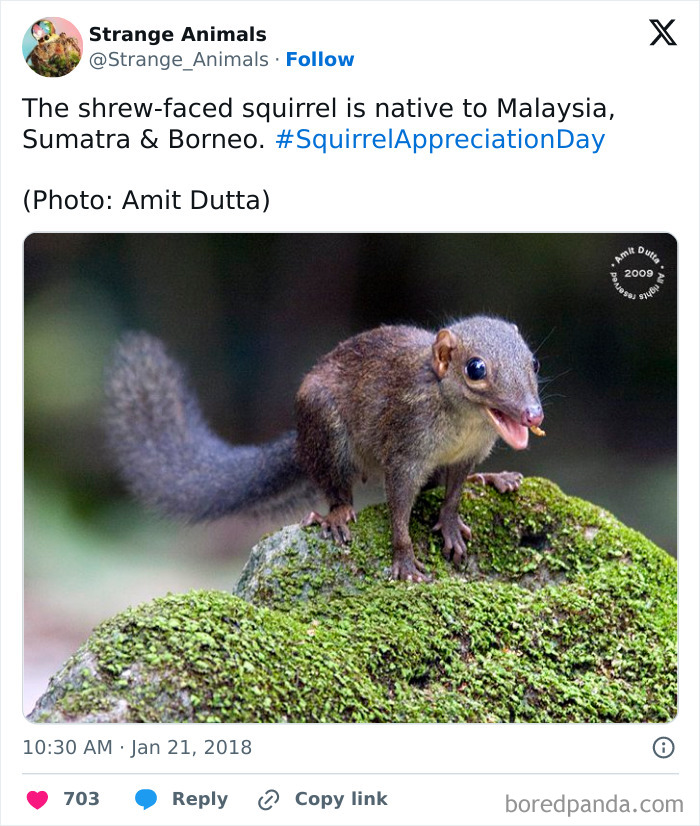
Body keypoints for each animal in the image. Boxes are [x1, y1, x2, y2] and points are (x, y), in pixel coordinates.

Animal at [105, 316, 544, 582]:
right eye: (476, 369)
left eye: (534, 363)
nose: (533, 414)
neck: (463, 425)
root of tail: (301, 443)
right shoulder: (405, 448)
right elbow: (400, 510)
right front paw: (404, 561)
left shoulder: (466, 455)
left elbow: (452, 496)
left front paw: (450, 526)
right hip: (326, 431)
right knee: (335, 486)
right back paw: (336, 515)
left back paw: (493, 478)